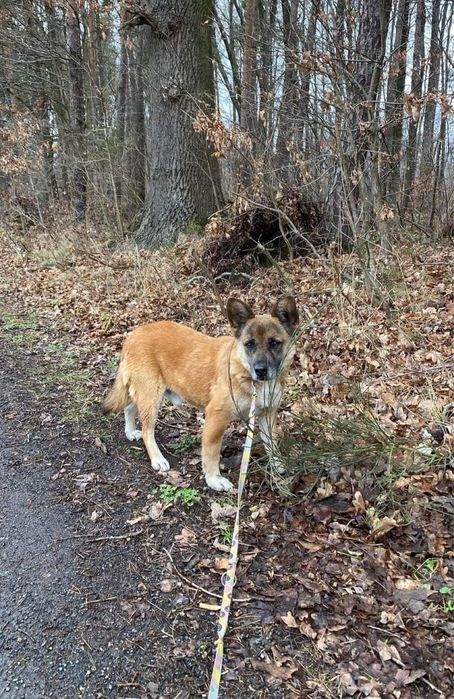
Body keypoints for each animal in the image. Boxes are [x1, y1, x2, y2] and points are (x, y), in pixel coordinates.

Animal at [104, 296, 300, 492]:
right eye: (249, 344)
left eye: (274, 342)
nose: (260, 371)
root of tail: (134, 334)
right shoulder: (216, 418)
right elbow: (212, 453)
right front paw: (214, 479)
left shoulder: (267, 414)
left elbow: (271, 443)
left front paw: (277, 464)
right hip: (151, 397)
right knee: (147, 431)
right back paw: (157, 459)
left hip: (143, 393)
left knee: (129, 408)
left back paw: (130, 431)